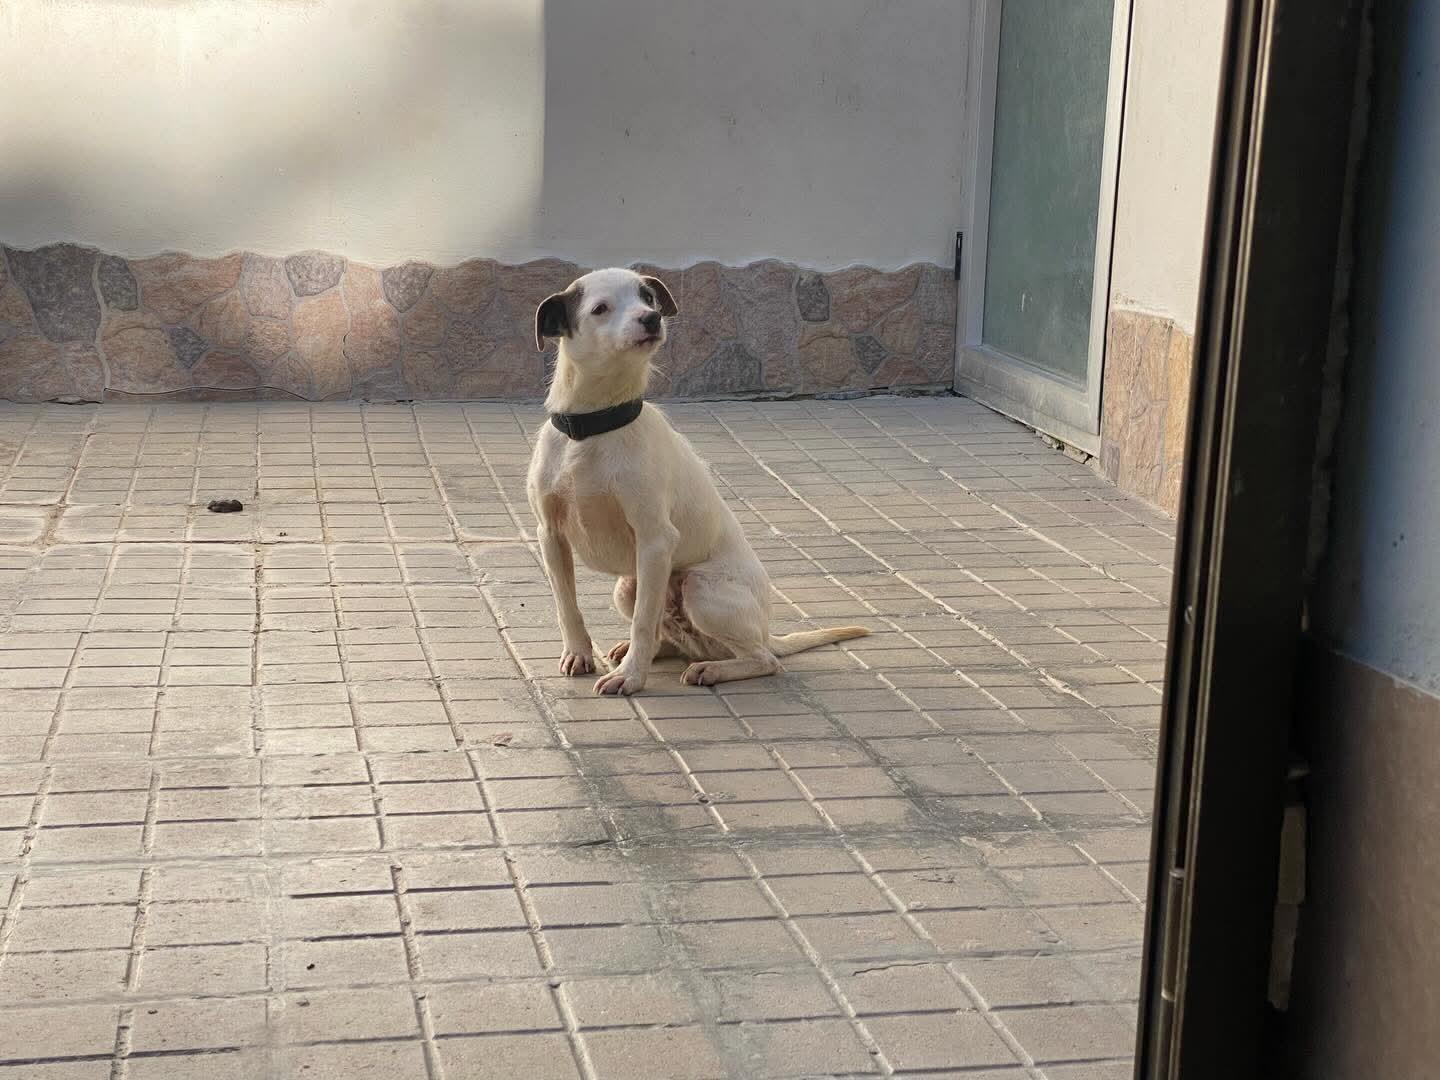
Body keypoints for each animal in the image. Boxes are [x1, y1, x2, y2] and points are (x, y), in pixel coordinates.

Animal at [527, 267, 870, 696]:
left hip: (700, 588)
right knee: (667, 634)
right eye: (600, 308)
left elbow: (643, 622)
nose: (651, 319)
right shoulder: (550, 535)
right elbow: (567, 605)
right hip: (628, 586)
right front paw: (579, 653)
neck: (593, 427)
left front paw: (631, 679)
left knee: (762, 659)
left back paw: (709, 669)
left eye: (647, 297)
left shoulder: (655, 540)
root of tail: (766, 630)